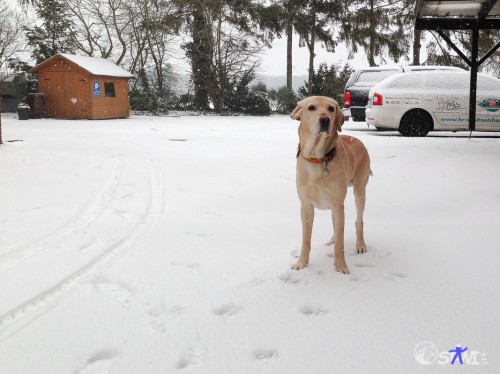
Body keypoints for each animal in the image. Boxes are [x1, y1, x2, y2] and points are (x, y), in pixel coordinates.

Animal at [290, 95, 372, 274]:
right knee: (337, 226)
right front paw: (301, 263)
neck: (317, 158)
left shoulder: (337, 203)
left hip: (359, 191)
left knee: (359, 221)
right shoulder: (306, 206)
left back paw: (360, 244)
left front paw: (341, 266)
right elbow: (306, 240)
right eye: (311, 108)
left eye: (331, 109)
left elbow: (341, 243)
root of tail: (358, 141)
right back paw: (333, 238)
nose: (325, 120)